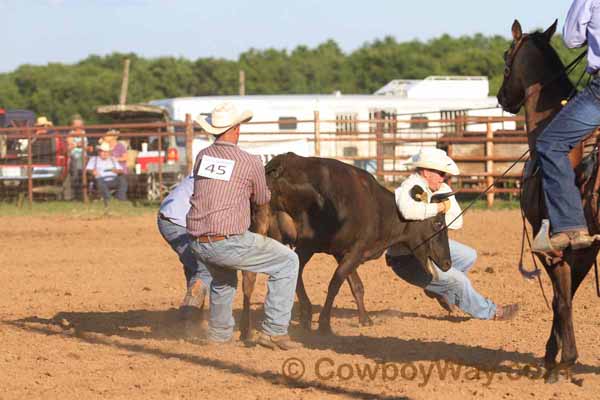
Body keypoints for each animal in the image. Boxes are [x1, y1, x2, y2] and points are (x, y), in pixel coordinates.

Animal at [496, 19, 600, 384]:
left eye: (506, 55)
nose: (501, 96)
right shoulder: (586, 248)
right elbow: (565, 296)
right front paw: (556, 358)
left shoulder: (550, 247)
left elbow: (560, 299)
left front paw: (559, 361)